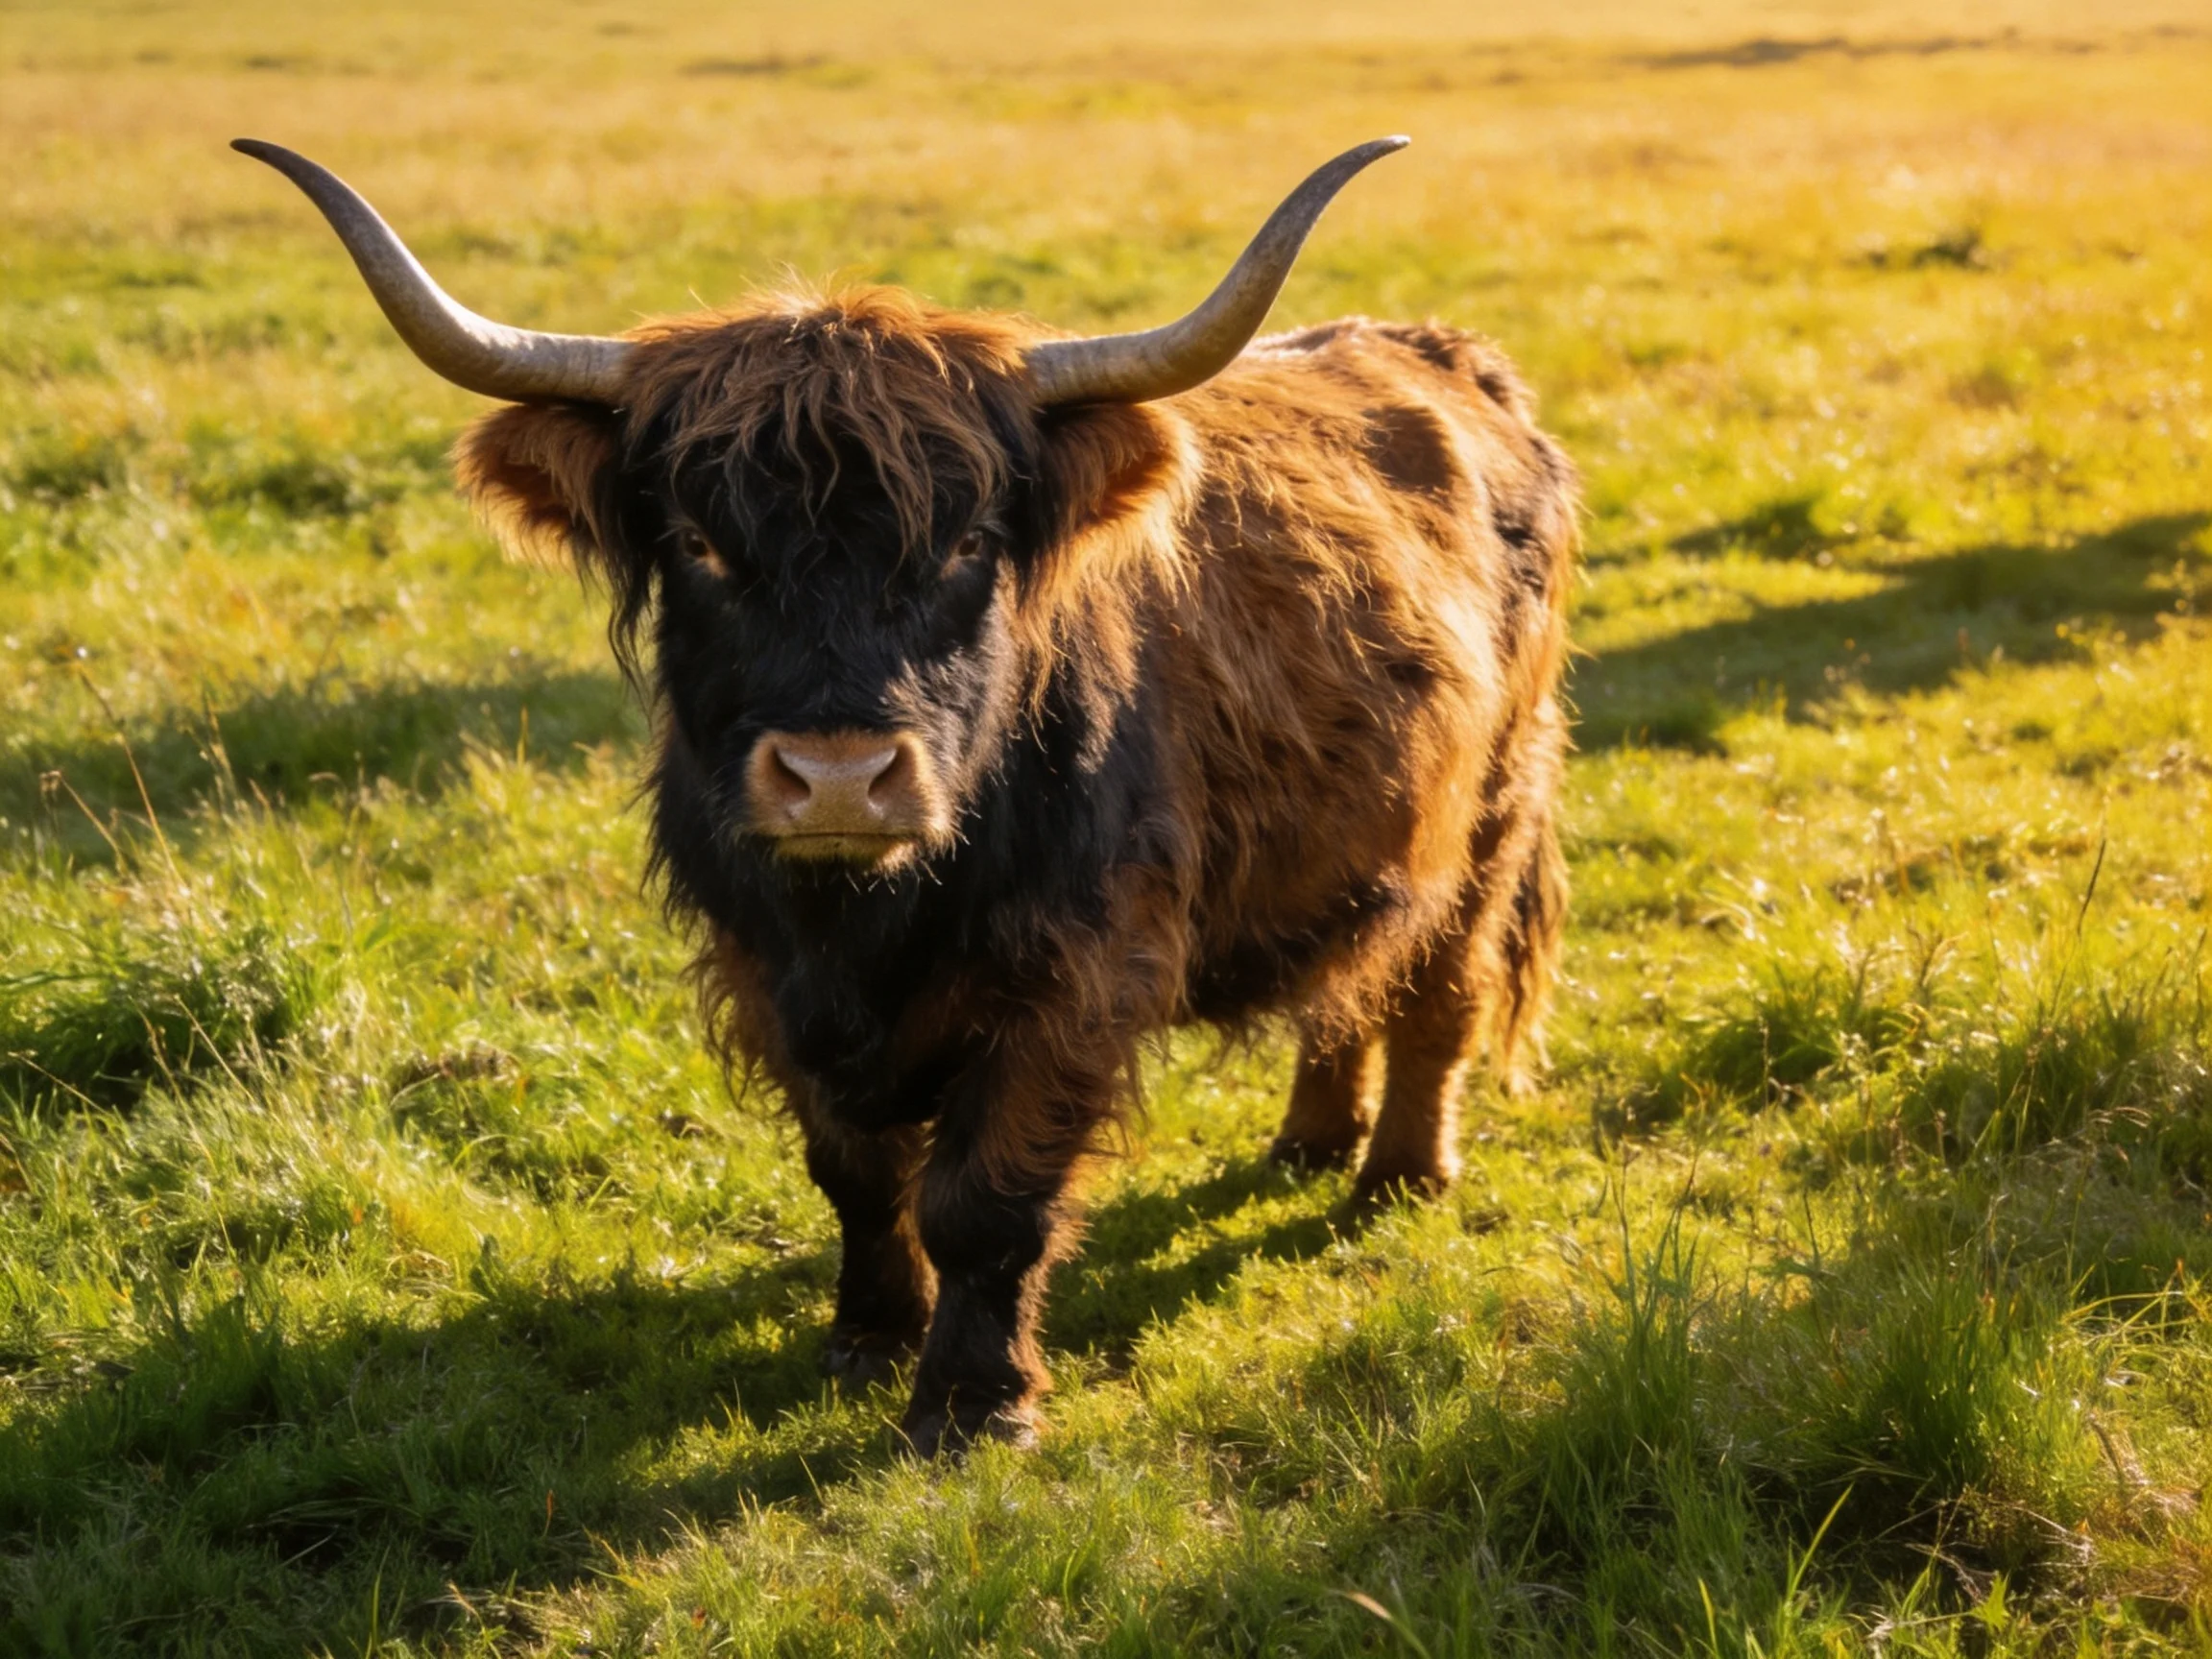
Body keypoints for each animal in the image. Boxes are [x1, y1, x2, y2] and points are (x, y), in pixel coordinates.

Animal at [236, 135, 1578, 1453]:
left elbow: (985, 1198)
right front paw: (869, 1338)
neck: (867, 924)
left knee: (1440, 986)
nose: (838, 776)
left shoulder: (1077, 972)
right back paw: (1309, 1141)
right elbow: (858, 1174)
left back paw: (1398, 1174)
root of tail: (1445, 355)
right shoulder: (765, 969)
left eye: (968, 541)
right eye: (700, 544)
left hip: (1494, 804)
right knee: (1349, 970)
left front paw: (973, 1403)